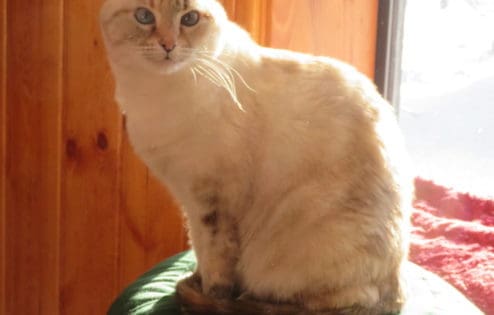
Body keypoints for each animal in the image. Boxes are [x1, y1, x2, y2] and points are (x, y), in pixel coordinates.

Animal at [99, 1, 412, 314]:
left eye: (189, 19)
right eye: (144, 16)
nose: (168, 45)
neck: (156, 93)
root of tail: (396, 296)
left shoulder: (214, 200)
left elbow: (216, 264)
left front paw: (209, 294)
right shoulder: (191, 200)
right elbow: (200, 249)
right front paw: (196, 281)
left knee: (318, 303)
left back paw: (241, 299)